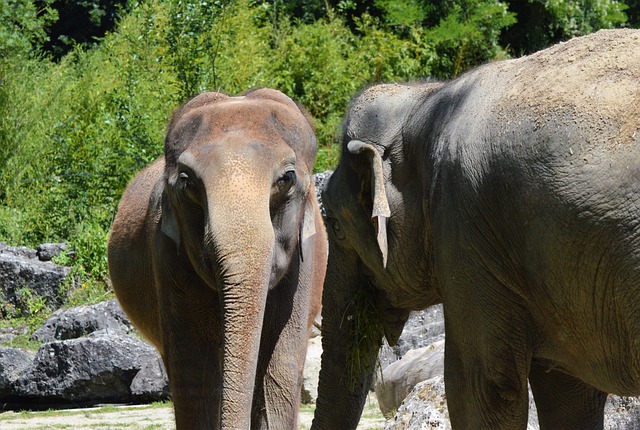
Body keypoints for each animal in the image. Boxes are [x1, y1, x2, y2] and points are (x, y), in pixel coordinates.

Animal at [108, 88, 328, 430]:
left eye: (287, 178)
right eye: (188, 183)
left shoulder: (304, 262)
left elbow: (280, 366)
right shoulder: (168, 256)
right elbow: (195, 367)